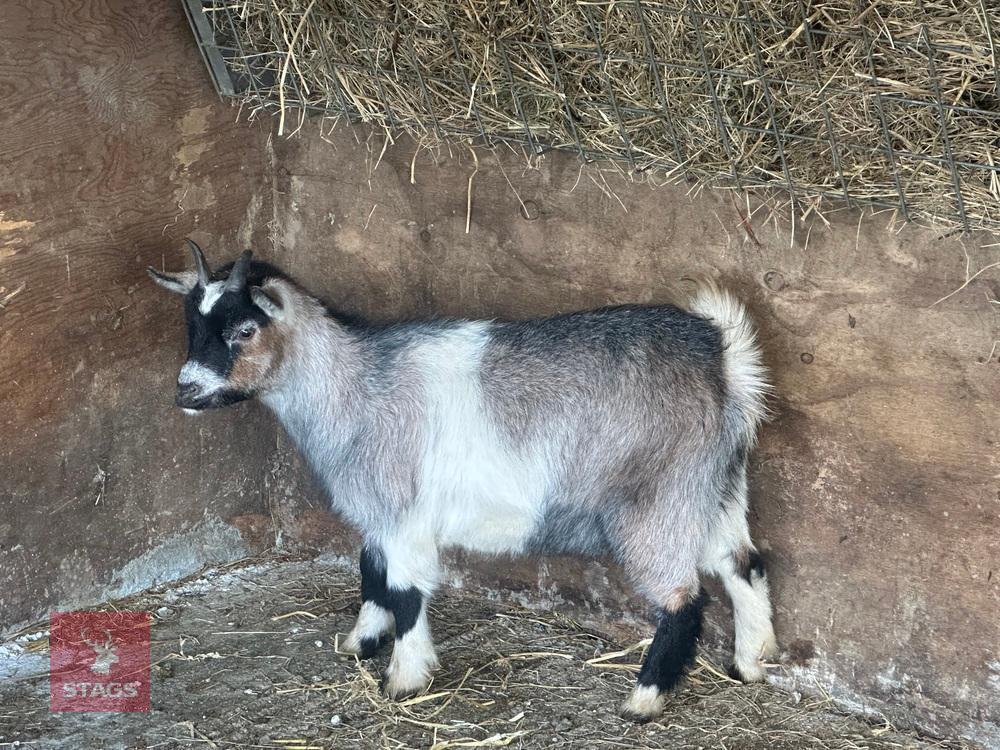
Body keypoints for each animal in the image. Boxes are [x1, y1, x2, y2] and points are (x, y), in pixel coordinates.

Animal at [148, 241, 777, 721]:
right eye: (190, 325)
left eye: (244, 329)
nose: (186, 391)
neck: (355, 386)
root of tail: (722, 359)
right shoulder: (380, 510)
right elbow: (371, 571)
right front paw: (360, 642)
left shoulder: (401, 507)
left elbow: (405, 591)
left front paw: (404, 678)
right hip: (718, 485)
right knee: (743, 564)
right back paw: (751, 661)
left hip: (658, 500)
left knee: (684, 599)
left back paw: (645, 699)